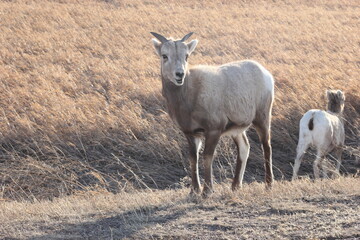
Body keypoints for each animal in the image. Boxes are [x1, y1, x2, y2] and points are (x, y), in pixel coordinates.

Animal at [150, 32, 274, 197]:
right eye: (164, 56)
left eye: (186, 56)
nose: (179, 75)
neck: (190, 94)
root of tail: (266, 74)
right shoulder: (191, 133)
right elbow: (193, 158)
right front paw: (194, 191)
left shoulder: (213, 130)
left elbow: (207, 157)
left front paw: (207, 191)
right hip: (237, 130)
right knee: (244, 147)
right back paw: (235, 186)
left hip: (262, 118)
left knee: (266, 146)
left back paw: (268, 185)